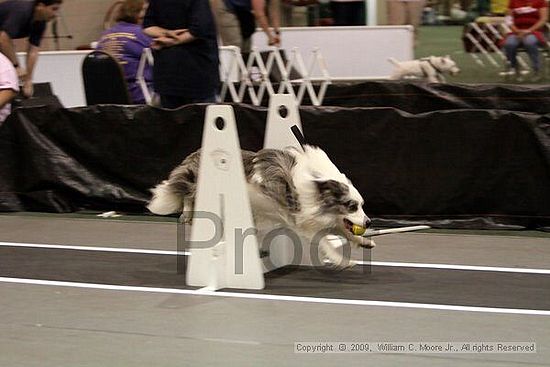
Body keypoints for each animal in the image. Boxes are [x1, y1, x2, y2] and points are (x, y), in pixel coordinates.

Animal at [149, 145, 378, 268]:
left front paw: (364, 242)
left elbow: (344, 231)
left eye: (361, 205)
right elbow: (326, 243)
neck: (317, 190)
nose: (368, 222)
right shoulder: (305, 223)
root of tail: (196, 154)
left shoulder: (325, 220)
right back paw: (187, 213)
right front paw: (342, 260)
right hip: (203, 185)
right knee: (188, 192)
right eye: (351, 206)